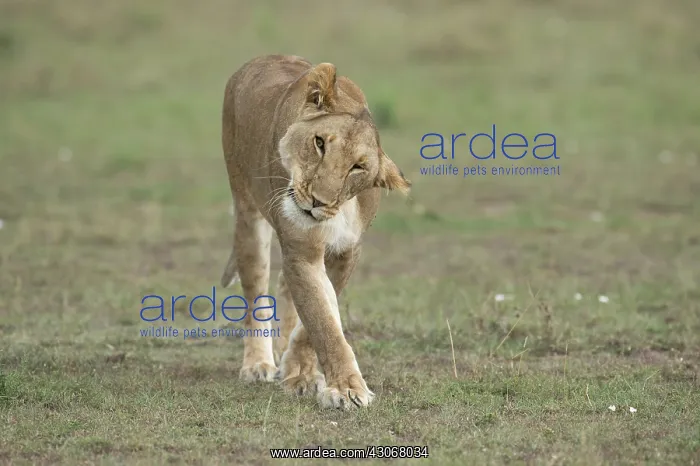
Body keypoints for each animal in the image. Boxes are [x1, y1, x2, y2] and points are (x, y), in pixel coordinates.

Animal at [219, 55, 410, 409]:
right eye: (319, 142)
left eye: (357, 167)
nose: (316, 201)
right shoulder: (301, 249)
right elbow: (322, 321)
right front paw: (347, 390)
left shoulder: (346, 251)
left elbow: (314, 319)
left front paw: (303, 373)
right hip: (246, 212)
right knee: (256, 292)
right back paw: (258, 364)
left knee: (284, 288)